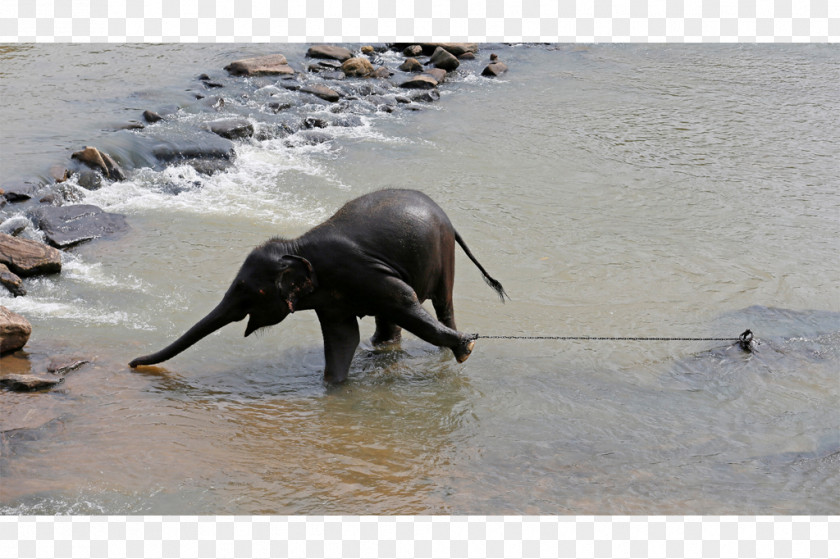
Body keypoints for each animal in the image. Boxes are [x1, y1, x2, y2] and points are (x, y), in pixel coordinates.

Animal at [128, 188, 502, 384]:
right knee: (389, 319)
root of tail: (446, 217)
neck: (298, 246)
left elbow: (405, 300)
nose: (132, 363)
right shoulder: (330, 299)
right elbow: (342, 338)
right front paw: (333, 388)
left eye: (253, 292)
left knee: (440, 302)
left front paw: (466, 348)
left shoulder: (362, 270)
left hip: (443, 253)